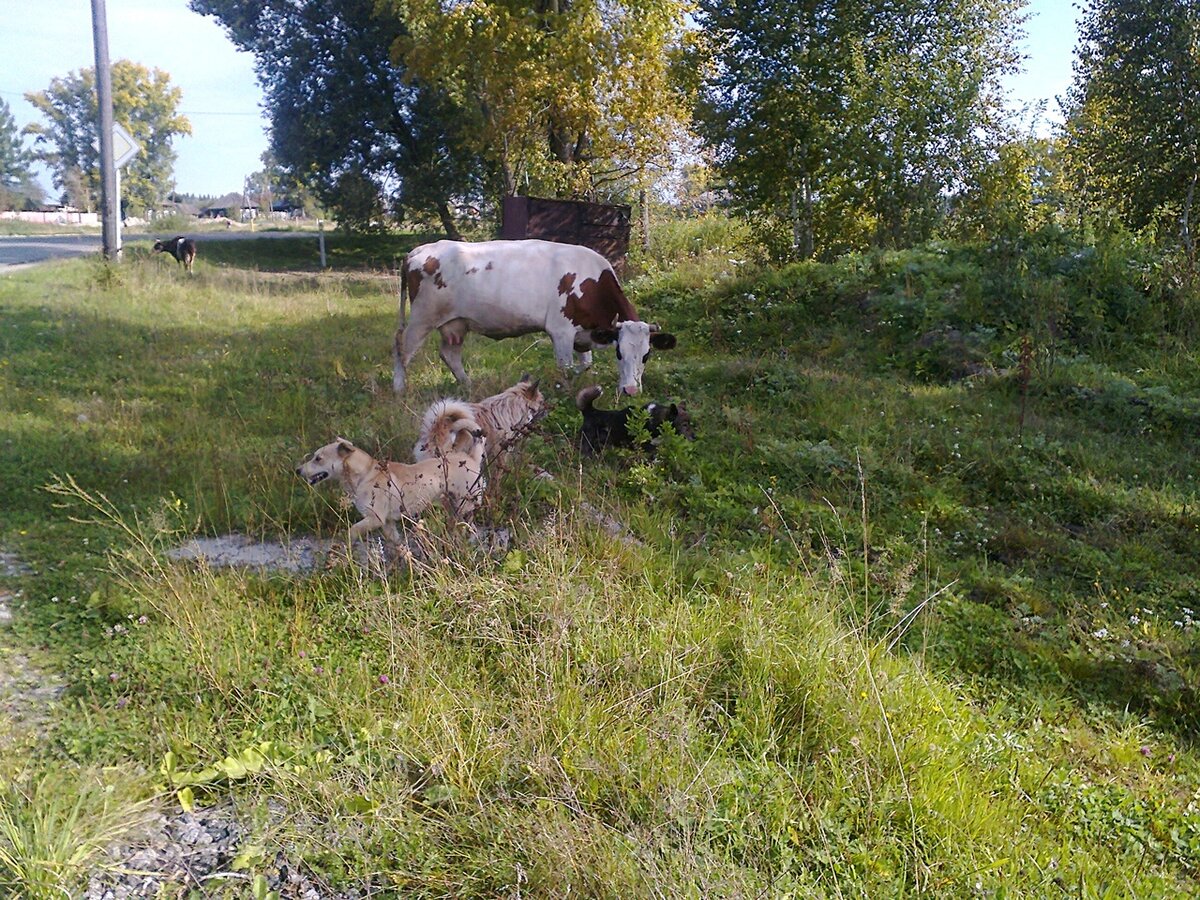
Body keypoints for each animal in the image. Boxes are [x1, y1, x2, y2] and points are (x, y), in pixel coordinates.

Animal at [297, 427, 484, 547]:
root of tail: (471, 458)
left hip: (465, 506)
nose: (297, 470)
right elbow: (397, 543)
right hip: (452, 506)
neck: (365, 475)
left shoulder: (375, 519)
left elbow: (352, 530)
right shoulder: (387, 524)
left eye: (318, 458)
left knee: (472, 529)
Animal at [393, 240, 676, 393]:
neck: (592, 281)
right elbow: (565, 367)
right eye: (619, 353)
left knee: (449, 354)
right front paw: (563, 392)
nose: (631, 390)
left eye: (647, 355)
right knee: (402, 349)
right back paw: (399, 389)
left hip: (456, 323)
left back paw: (468, 385)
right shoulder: (561, 331)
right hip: (422, 317)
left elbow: (584, 365)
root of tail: (418, 251)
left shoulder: (584, 333)